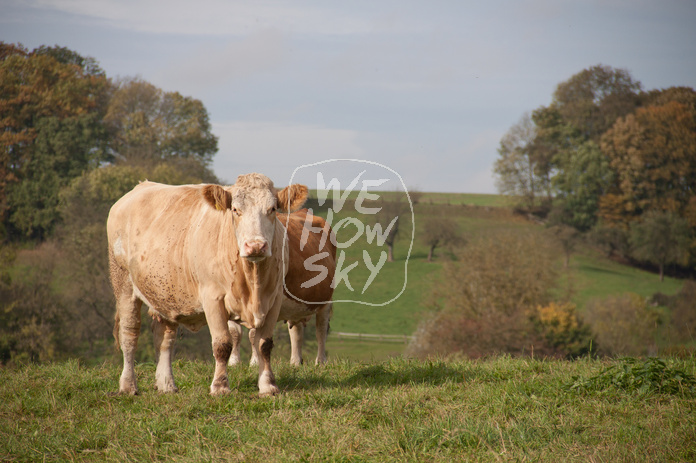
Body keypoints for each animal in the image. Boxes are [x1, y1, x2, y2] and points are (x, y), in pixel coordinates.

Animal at [106, 174, 308, 398]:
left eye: (272, 209)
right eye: (235, 209)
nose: (255, 245)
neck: (253, 281)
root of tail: (141, 186)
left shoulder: (273, 299)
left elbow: (264, 344)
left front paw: (268, 386)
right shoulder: (213, 299)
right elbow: (222, 345)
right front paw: (220, 386)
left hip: (166, 293)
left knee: (165, 338)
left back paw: (166, 384)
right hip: (123, 283)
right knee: (129, 334)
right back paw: (128, 385)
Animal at [228, 209, 338, 366]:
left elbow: (254, 334)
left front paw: (255, 363)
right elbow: (235, 331)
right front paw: (234, 362)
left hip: (326, 299)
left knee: (321, 329)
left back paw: (321, 362)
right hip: (296, 304)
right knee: (296, 331)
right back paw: (295, 362)